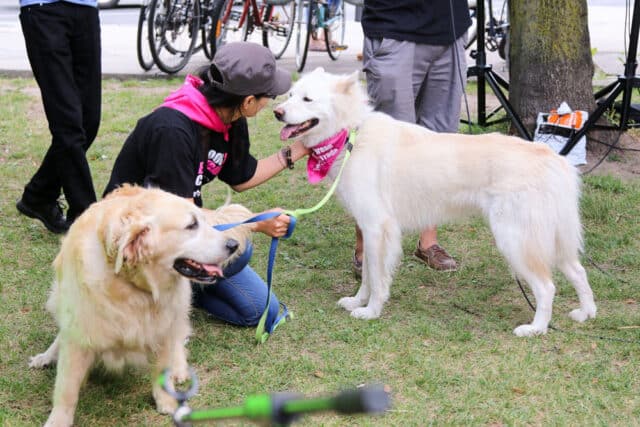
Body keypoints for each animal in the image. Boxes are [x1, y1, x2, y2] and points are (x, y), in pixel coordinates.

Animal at [274, 67, 596, 338]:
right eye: (290, 95)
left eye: (307, 99)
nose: (277, 112)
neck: (352, 131)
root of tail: (552, 159)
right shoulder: (369, 230)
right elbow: (366, 275)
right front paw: (356, 302)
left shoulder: (378, 229)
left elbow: (376, 278)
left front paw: (371, 311)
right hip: (552, 238)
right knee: (578, 272)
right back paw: (586, 313)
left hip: (515, 240)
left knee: (547, 286)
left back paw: (536, 328)